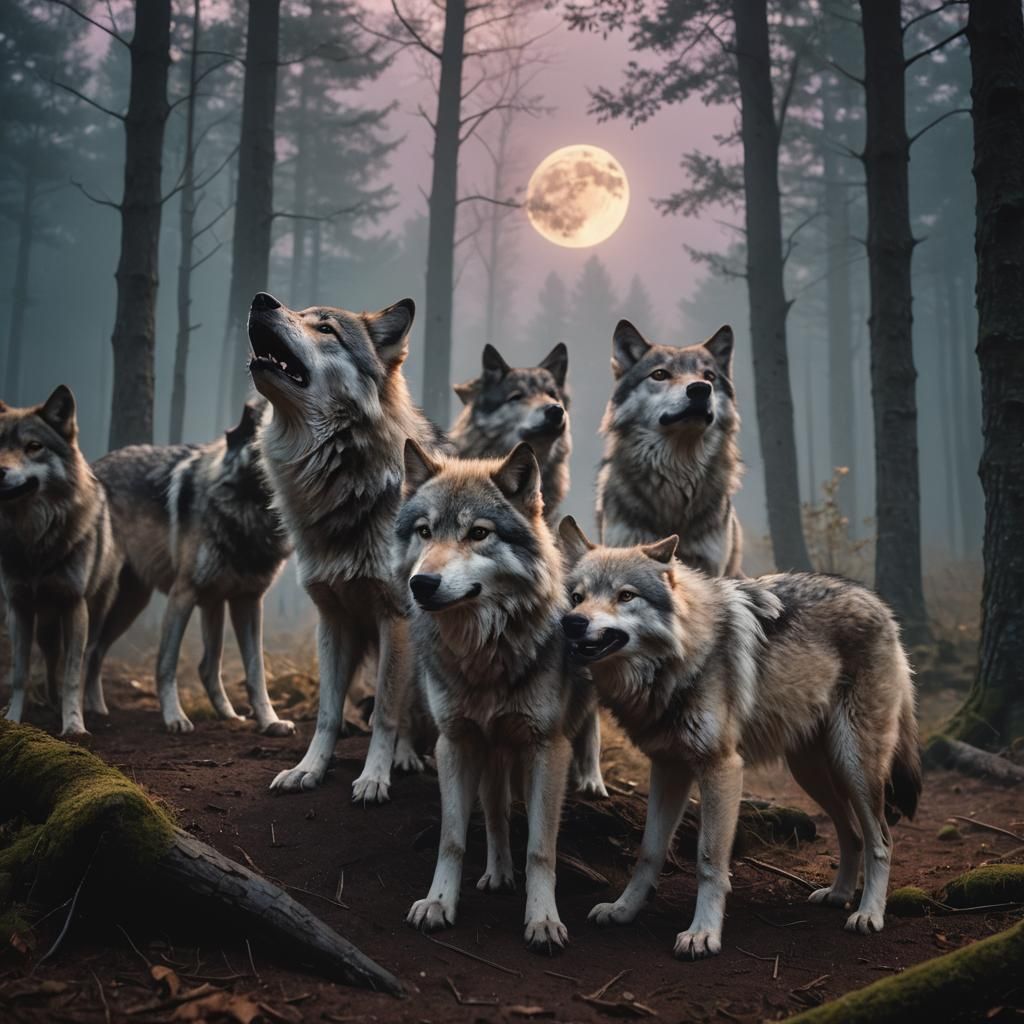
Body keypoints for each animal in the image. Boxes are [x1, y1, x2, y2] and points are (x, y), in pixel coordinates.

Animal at [0, 386, 121, 736]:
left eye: (33, 446)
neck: (34, 539)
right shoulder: (18, 607)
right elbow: (20, 673)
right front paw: (13, 719)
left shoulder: (73, 604)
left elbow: (72, 675)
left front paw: (74, 725)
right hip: (46, 625)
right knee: (52, 659)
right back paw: (51, 702)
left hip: (92, 615)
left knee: (86, 659)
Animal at [87, 400, 294, 735]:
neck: (248, 517)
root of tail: (93, 467)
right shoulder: (183, 594)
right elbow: (166, 664)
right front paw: (174, 717)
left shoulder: (248, 601)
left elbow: (256, 672)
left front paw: (270, 721)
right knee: (78, 647)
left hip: (141, 604)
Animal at [247, 290, 444, 800]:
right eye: (296, 311)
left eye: (326, 329)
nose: (261, 299)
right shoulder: (332, 618)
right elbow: (328, 713)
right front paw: (309, 769)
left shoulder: (395, 617)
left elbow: (387, 714)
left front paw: (374, 777)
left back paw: (406, 757)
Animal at [398, 441, 593, 951]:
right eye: (424, 531)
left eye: (478, 533)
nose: (421, 583)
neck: (483, 651)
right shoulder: (455, 741)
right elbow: (453, 838)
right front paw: (439, 903)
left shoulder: (546, 747)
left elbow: (541, 848)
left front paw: (542, 918)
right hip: (491, 748)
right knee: (496, 810)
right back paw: (499, 872)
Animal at [558, 517, 921, 959]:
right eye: (577, 597)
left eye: (625, 595)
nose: (573, 622)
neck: (677, 662)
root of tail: (879, 604)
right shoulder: (668, 767)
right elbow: (649, 851)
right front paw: (623, 910)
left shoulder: (722, 767)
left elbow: (709, 860)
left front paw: (703, 933)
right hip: (812, 773)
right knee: (851, 834)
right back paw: (838, 895)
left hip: (854, 764)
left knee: (881, 839)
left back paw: (869, 913)